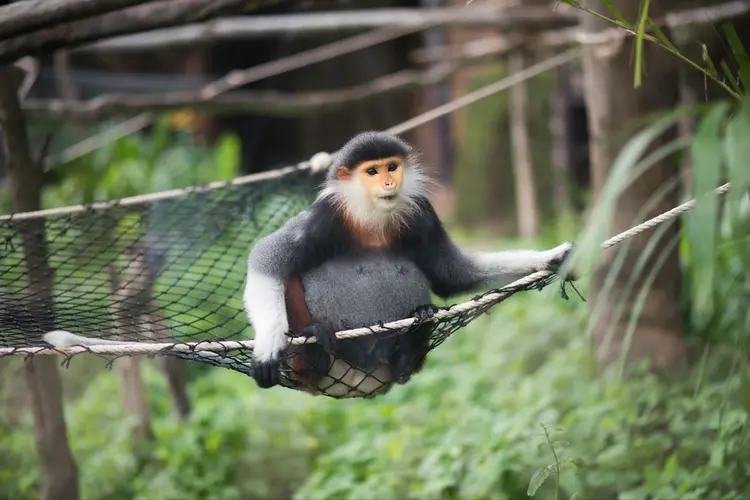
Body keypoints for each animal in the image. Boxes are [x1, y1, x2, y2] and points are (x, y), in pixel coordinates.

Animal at [247, 131, 576, 396]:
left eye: (392, 167)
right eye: (371, 171)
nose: (389, 181)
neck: (371, 220)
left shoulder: (422, 212)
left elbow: (454, 274)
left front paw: (553, 256)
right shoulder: (326, 215)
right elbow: (267, 258)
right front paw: (268, 344)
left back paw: (417, 330)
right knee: (288, 278)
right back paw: (315, 348)